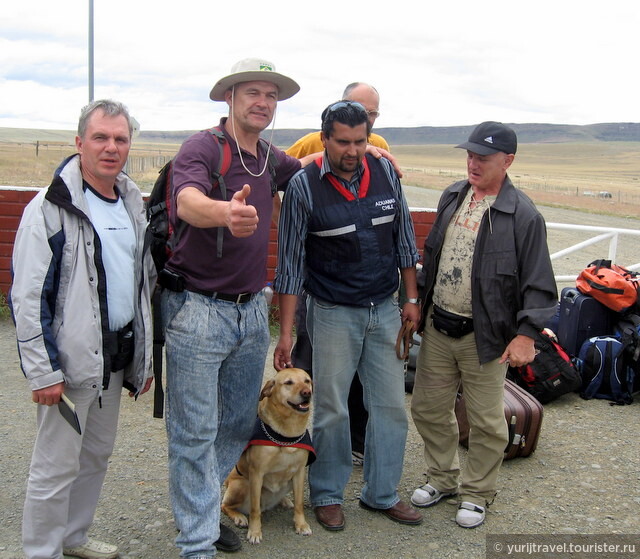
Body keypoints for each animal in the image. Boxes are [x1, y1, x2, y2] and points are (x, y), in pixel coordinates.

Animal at [222, 370, 316, 544]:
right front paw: (255, 532)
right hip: (241, 484)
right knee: (225, 506)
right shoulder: (256, 473)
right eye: (288, 382)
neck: (286, 434)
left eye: (307, 381)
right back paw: (239, 517)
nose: (307, 393)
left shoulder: (299, 472)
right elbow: (254, 509)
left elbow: (299, 503)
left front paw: (301, 525)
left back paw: (284, 500)